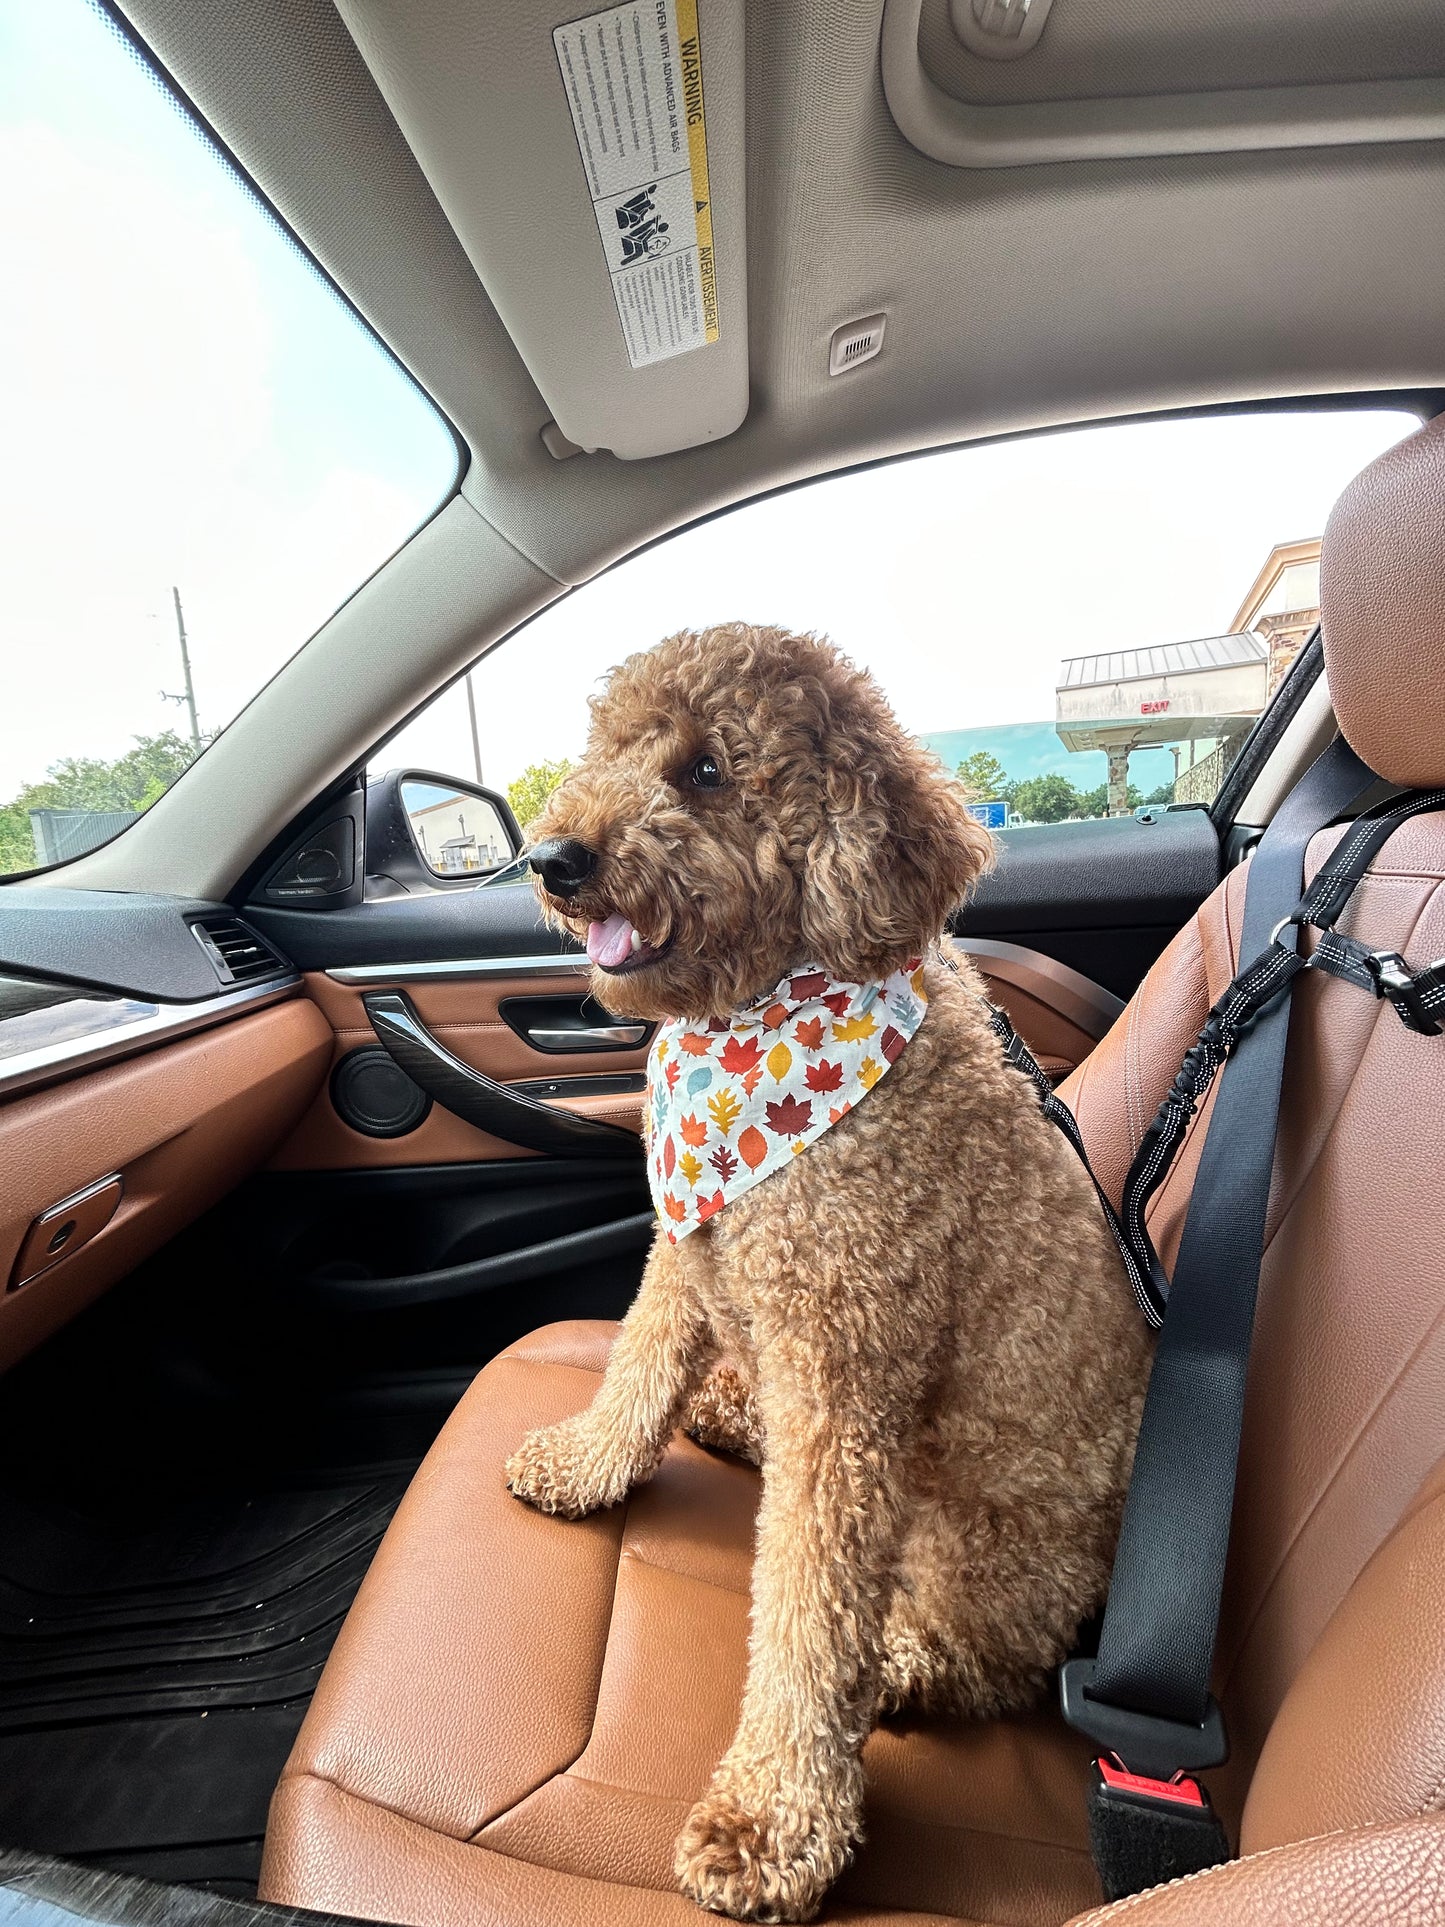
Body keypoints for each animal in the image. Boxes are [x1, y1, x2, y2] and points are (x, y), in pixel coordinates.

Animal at [508, 624, 1156, 1919]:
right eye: (609, 748)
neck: (760, 1016)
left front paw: (772, 1821)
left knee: (979, 1655)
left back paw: (901, 1661)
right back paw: (726, 1409)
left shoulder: (843, 1372)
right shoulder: (687, 1248)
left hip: (978, 1541)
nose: (553, 858)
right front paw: (583, 1463)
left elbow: (807, 1615)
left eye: (707, 771)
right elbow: (639, 1364)